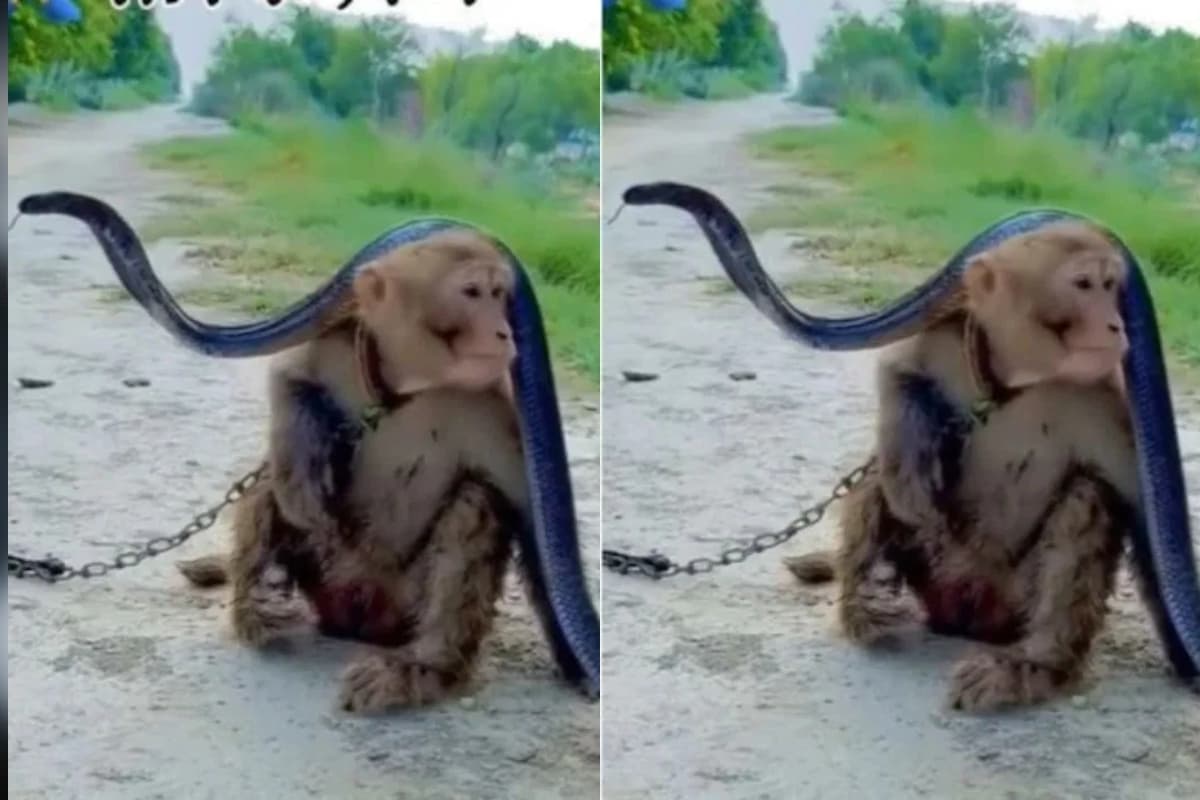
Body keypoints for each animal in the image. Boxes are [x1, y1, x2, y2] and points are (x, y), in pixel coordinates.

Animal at [177, 230, 532, 713]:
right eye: (472, 292)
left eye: (499, 295)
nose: (503, 331)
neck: (404, 387)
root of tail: (353, 622)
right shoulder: (340, 346)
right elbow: (289, 377)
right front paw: (302, 477)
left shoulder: (494, 406)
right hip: (326, 571)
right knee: (270, 479)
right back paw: (255, 605)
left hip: (399, 604)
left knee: (476, 500)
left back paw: (425, 668)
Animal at [788, 221, 1143, 712]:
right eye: (1084, 284)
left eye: (1110, 286)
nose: (1115, 324)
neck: (1014, 381)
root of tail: (962, 619)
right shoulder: (948, 339)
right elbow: (898, 371)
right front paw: (910, 479)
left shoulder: (1105, 399)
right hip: (935, 567)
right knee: (878, 473)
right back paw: (863, 602)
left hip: (1009, 601)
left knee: (1088, 495)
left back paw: (1035, 666)